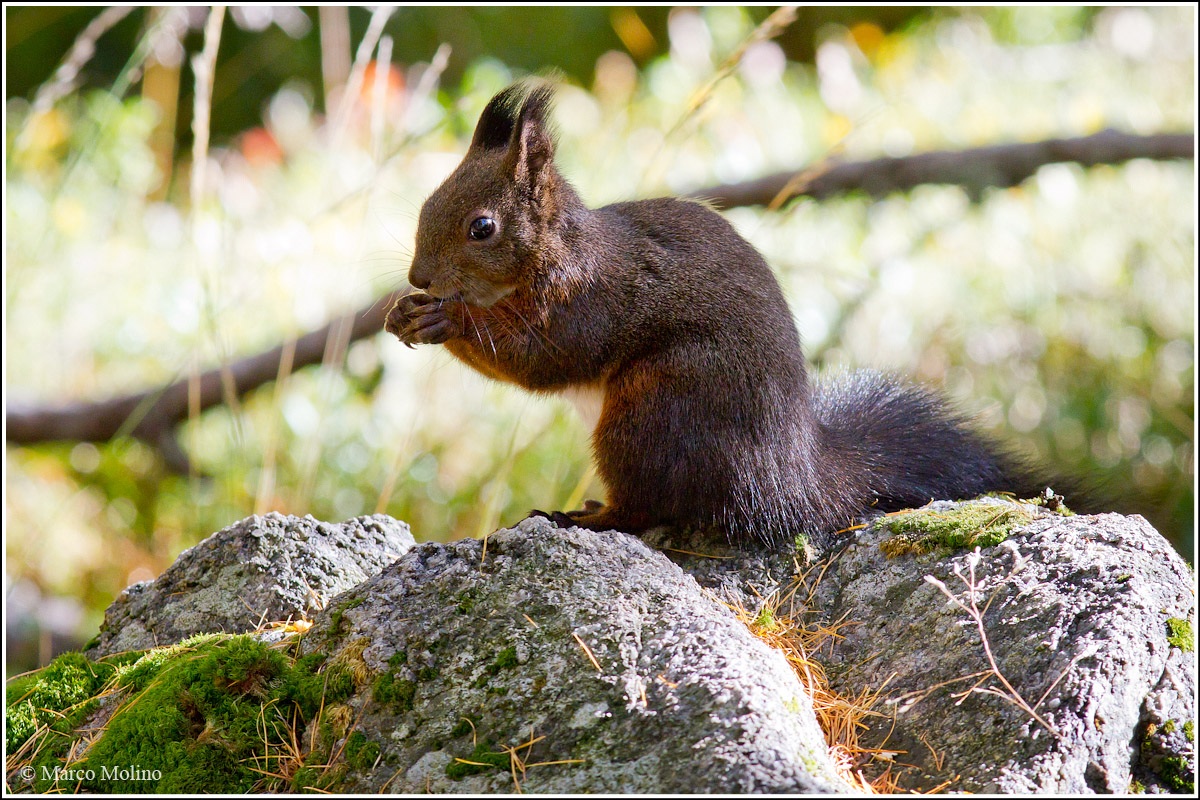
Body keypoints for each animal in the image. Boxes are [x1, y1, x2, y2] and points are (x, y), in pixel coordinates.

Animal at [385, 82, 1072, 550]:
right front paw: (403, 313)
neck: (558, 252)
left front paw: (445, 322)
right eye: (423, 204)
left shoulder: (589, 301)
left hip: (656, 408)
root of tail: (795, 480)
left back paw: (586, 517)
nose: (419, 278)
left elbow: (543, 359)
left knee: (649, 506)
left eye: (482, 227)